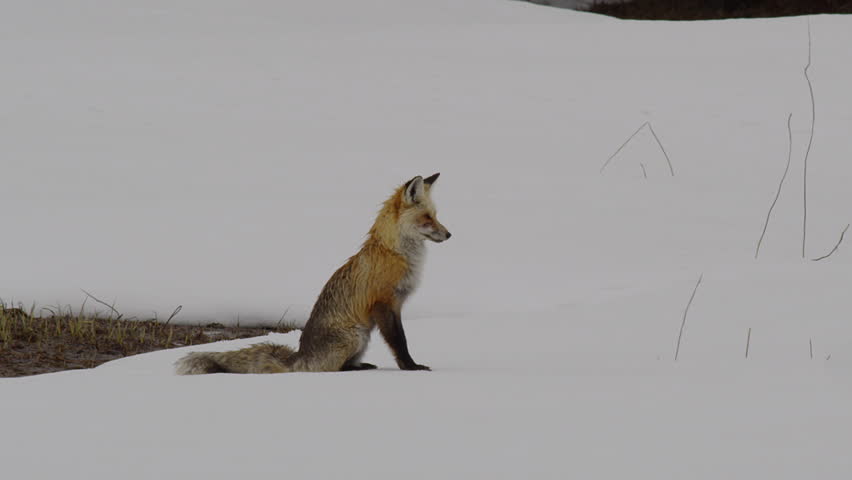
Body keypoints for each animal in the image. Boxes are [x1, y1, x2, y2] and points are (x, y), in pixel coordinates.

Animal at [175, 173, 451, 375]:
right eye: (427, 218)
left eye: (436, 216)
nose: (449, 235)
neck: (394, 252)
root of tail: (300, 356)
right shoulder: (384, 303)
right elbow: (399, 342)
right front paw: (410, 367)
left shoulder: (395, 304)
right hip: (356, 336)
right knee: (329, 369)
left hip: (361, 339)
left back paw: (361, 365)